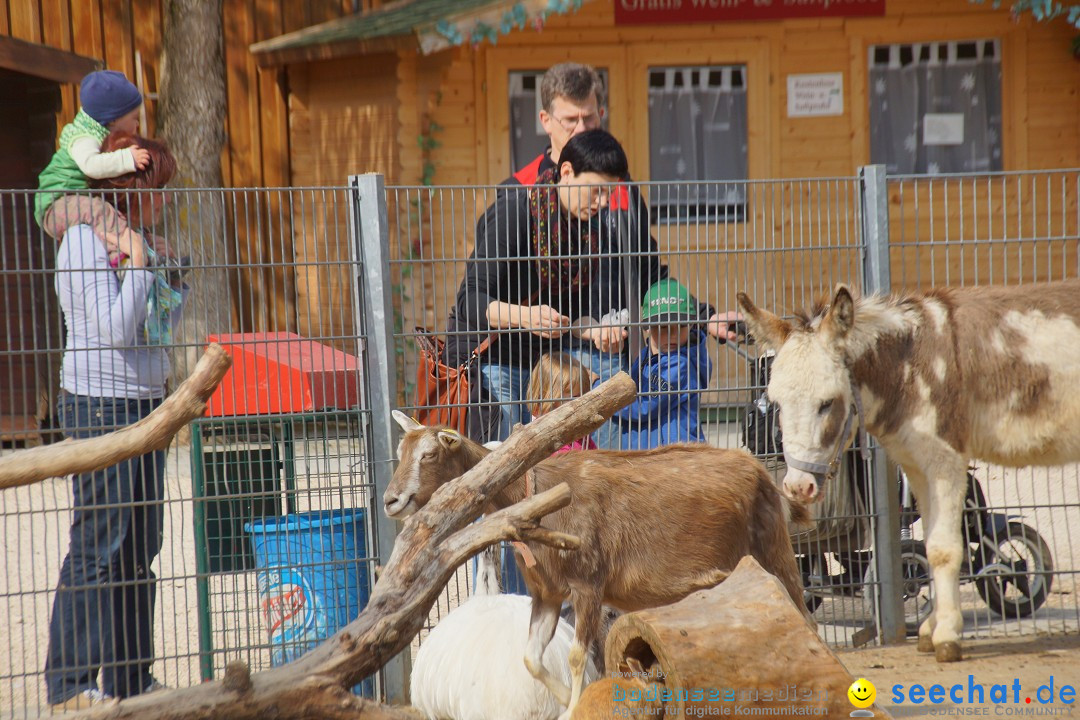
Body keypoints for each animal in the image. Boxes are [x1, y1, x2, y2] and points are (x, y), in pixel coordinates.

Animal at [388, 414, 812, 716]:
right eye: (400, 452)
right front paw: (564, 702)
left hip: (773, 550)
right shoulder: (547, 592)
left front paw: (576, 704)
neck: (534, 498)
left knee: (802, 614)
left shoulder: (587, 584)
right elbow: (531, 657)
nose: (392, 500)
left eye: (429, 454)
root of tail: (759, 470)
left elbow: (578, 656)